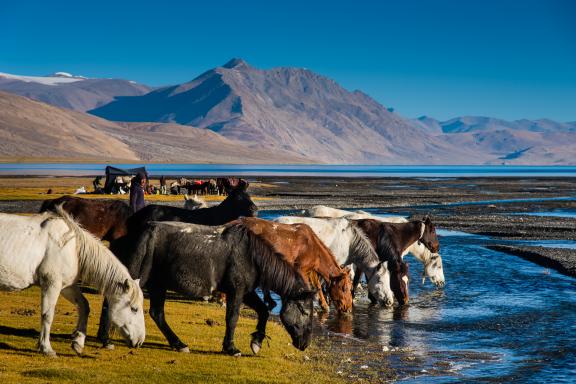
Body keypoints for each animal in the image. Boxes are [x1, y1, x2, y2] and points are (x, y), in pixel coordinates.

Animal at [0, 206, 146, 356]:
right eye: (134, 309)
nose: (140, 341)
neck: (72, 248)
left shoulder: (67, 287)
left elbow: (84, 306)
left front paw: (78, 342)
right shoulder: (51, 284)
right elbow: (47, 315)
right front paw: (46, 348)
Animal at [99, 220, 316, 356]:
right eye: (304, 310)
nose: (305, 343)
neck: (250, 255)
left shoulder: (246, 292)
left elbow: (263, 310)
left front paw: (256, 342)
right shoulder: (236, 291)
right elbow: (232, 318)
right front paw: (231, 348)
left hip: (158, 284)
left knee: (157, 313)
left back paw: (179, 344)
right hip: (137, 279)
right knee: (112, 303)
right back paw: (106, 340)